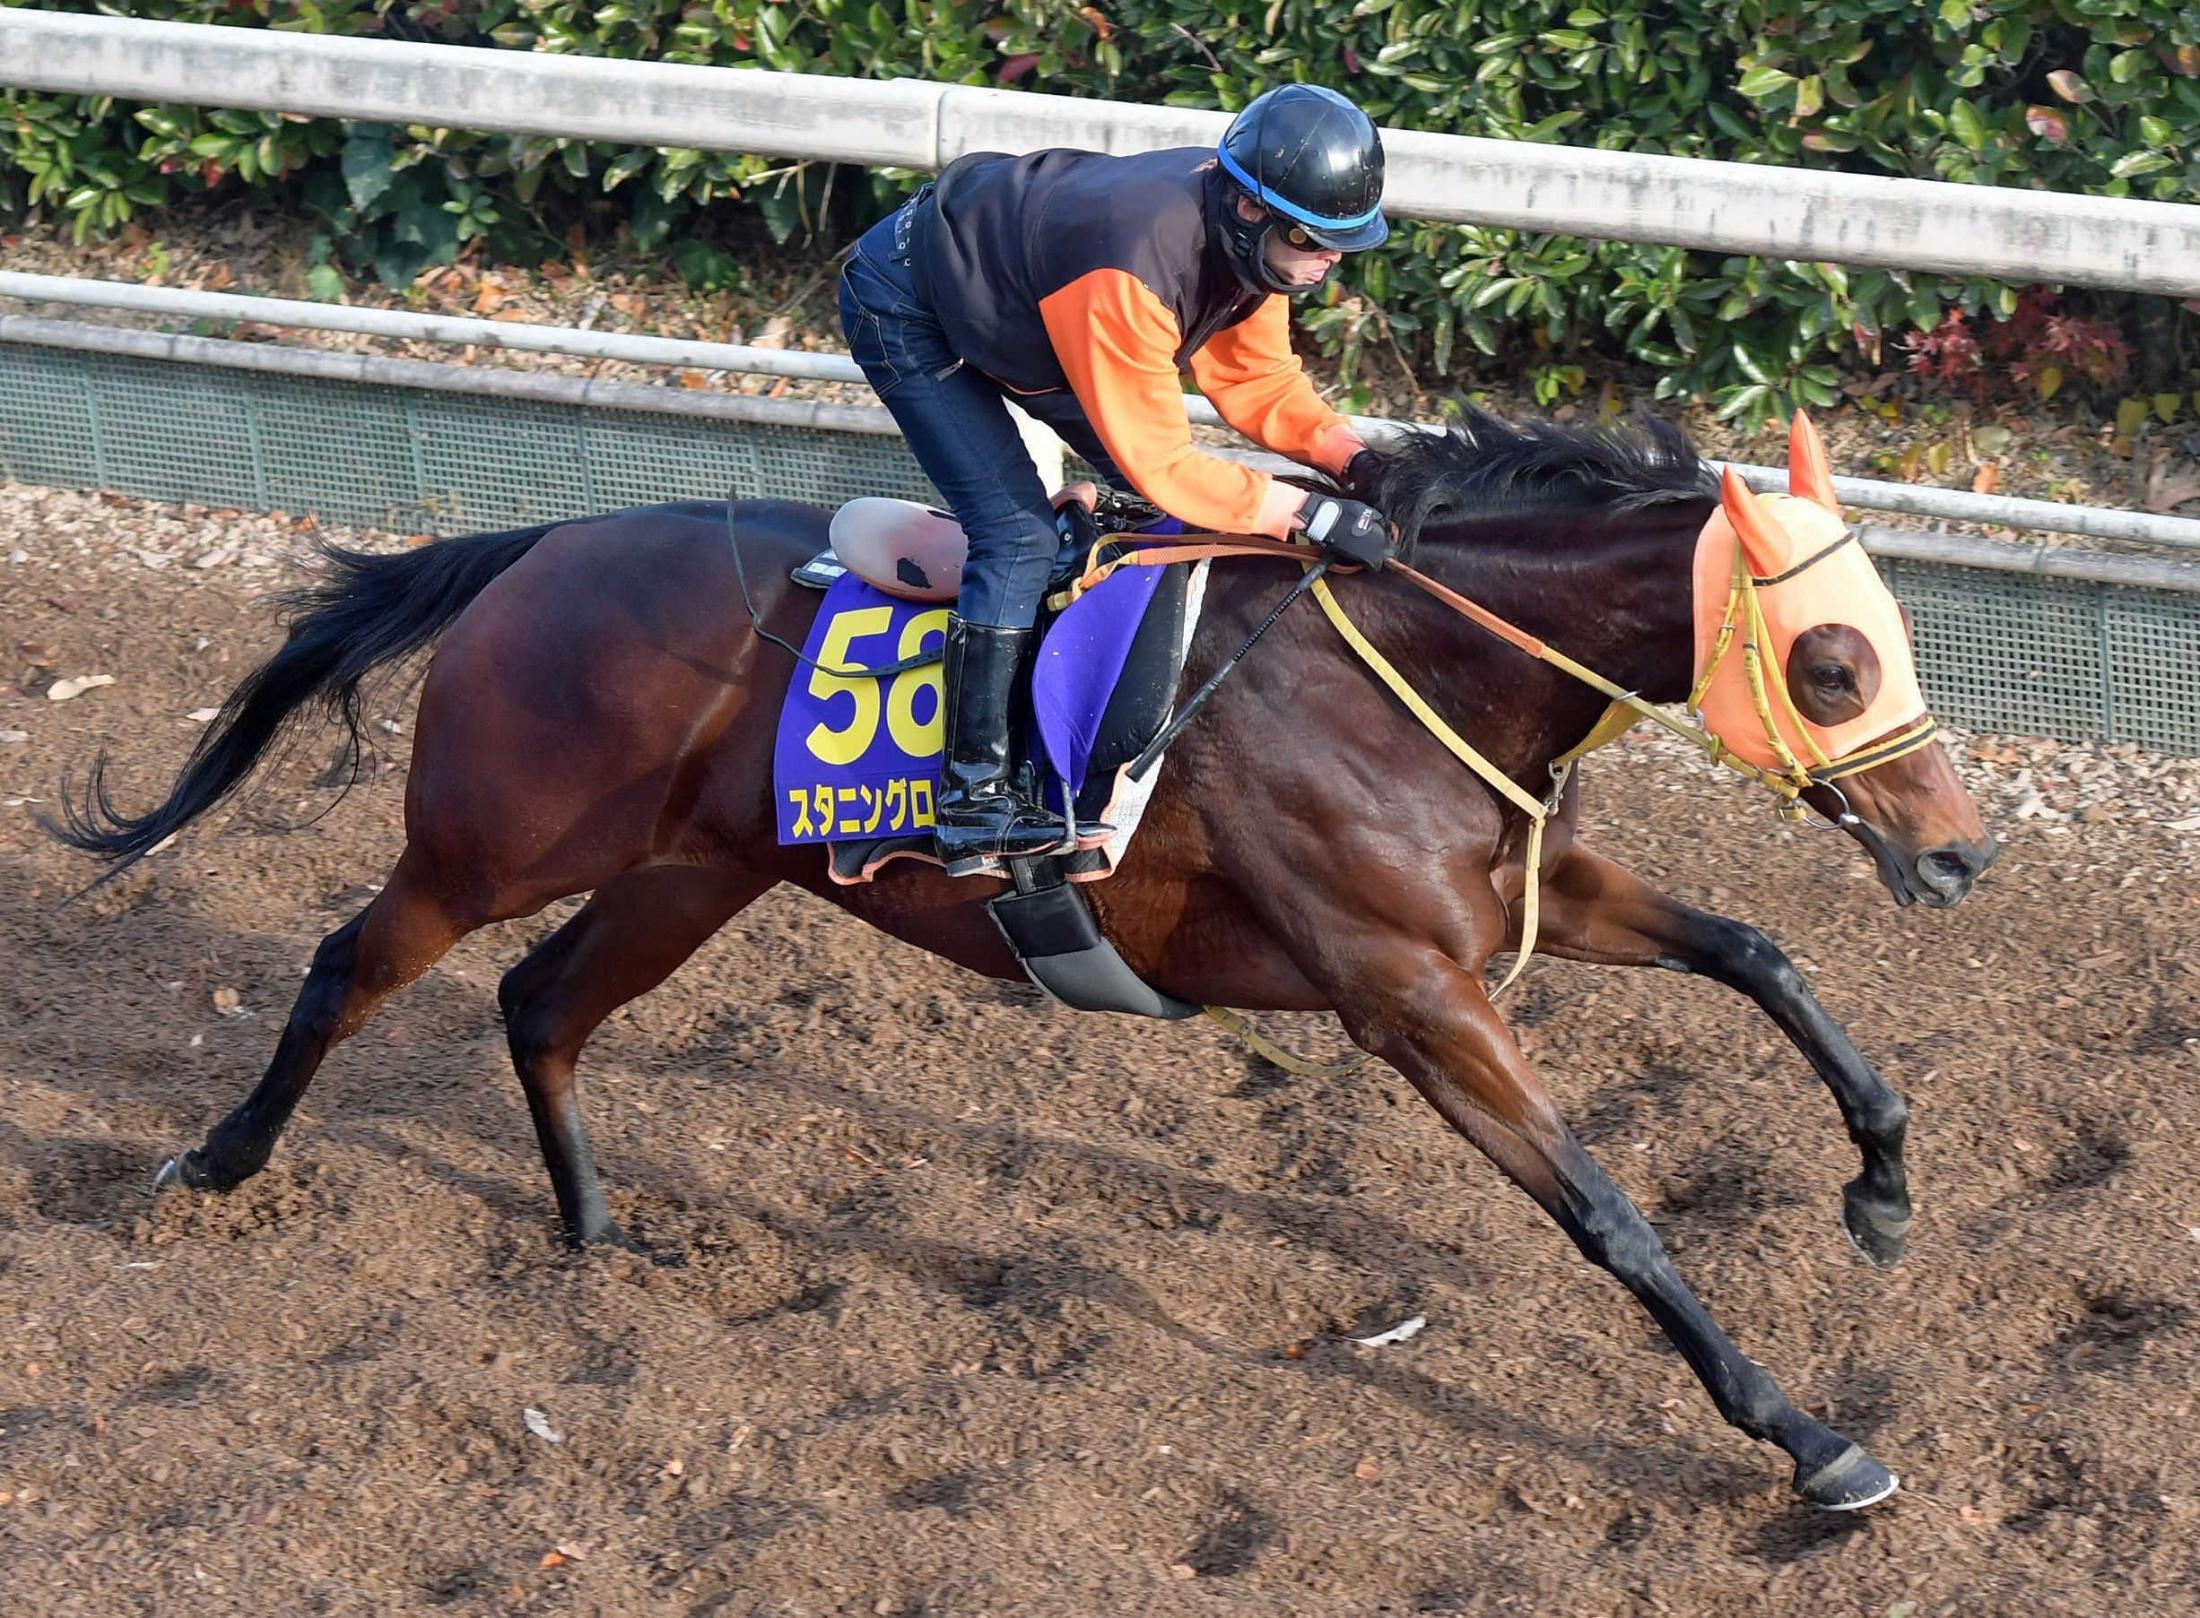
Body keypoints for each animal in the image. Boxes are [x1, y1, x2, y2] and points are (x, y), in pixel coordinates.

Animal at [47, 407, 1997, 1514]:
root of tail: (543, 544)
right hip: (489, 845)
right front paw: (1808, 1438)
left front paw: (1885, 1185)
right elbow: (1611, 1214)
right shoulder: (1409, 993)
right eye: (1830, 662)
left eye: (1891, 642)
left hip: (698, 875)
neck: (1407, 666)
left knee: (542, 1002)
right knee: (350, 961)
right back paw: (215, 1161)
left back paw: (595, 1228)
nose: (1959, 851)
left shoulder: (1536, 895)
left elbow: (1762, 950)